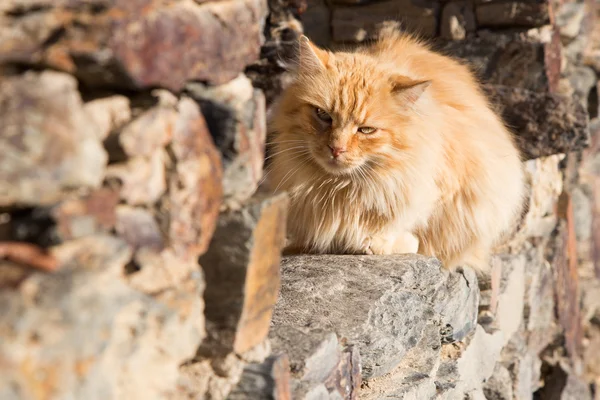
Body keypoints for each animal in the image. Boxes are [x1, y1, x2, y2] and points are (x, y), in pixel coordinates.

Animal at [268, 28, 524, 272]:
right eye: (323, 115)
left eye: (366, 130)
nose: (336, 148)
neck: (340, 191)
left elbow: (414, 235)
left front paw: (374, 242)